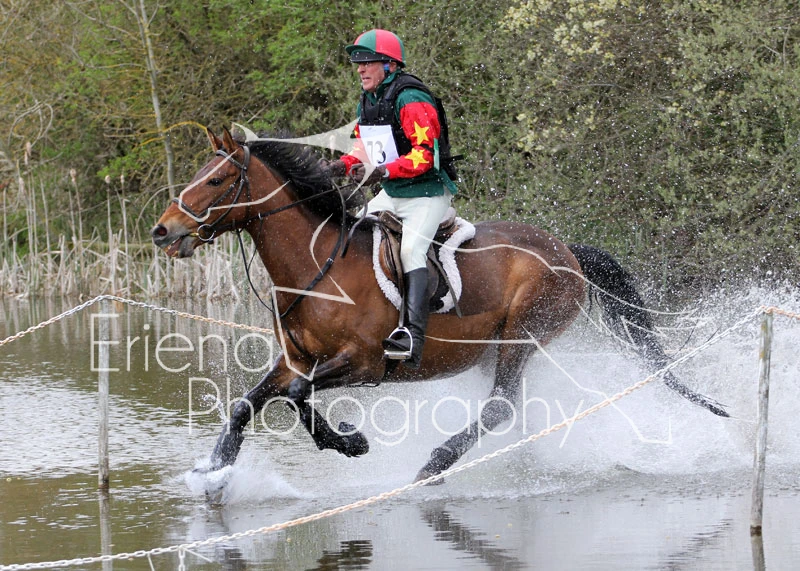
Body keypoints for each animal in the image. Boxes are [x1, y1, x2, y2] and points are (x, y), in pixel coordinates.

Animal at [151, 127, 727, 487]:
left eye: (217, 180)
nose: (163, 231)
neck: (317, 269)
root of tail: (566, 251)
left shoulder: (363, 363)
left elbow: (297, 397)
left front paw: (352, 444)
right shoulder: (297, 359)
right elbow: (246, 405)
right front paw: (213, 474)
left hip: (524, 332)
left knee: (500, 407)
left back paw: (434, 465)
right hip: (490, 351)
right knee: (510, 411)